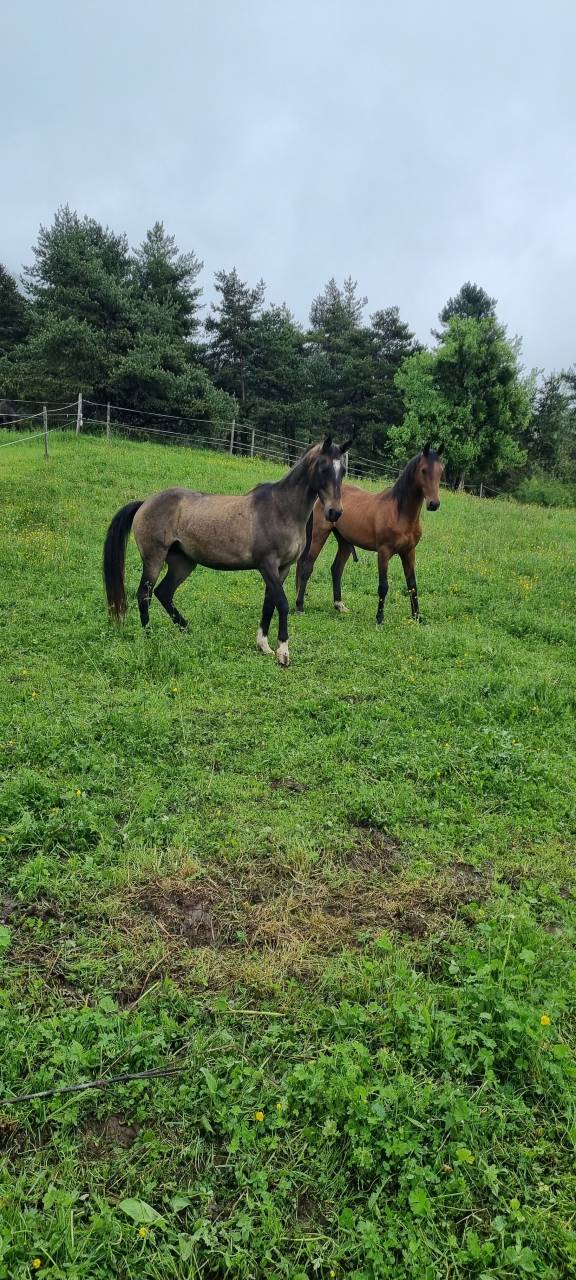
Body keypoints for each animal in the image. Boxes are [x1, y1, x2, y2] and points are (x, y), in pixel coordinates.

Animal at [103, 435, 352, 666]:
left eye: (343, 470)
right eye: (323, 467)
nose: (335, 512)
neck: (281, 509)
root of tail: (145, 503)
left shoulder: (283, 568)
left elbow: (269, 604)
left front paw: (263, 646)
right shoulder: (267, 565)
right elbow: (281, 603)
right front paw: (283, 653)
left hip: (183, 563)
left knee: (163, 593)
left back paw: (186, 630)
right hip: (154, 559)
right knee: (144, 594)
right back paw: (149, 636)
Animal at [295, 444, 444, 625]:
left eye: (441, 470)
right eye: (423, 470)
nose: (434, 504)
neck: (399, 513)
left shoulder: (409, 552)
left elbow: (412, 585)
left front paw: (417, 617)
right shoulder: (384, 552)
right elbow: (383, 586)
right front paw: (379, 618)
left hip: (344, 542)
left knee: (336, 569)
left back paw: (339, 605)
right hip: (319, 535)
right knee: (306, 567)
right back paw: (300, 606)